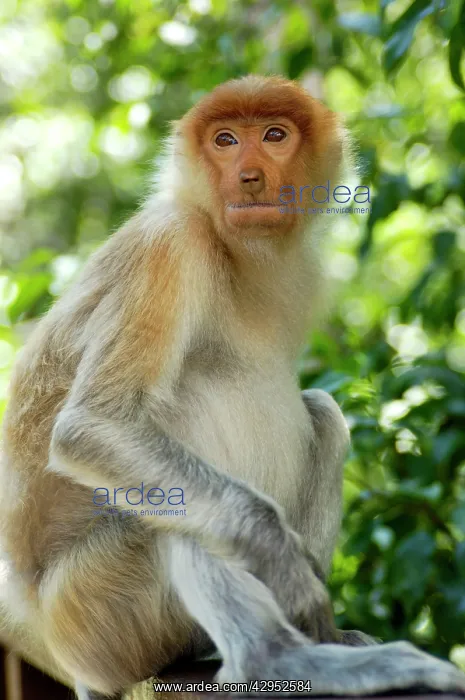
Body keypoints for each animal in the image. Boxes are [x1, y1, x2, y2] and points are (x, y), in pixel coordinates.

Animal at [0, 75, 465, 700]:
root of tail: (48, 633)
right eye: (224, 140)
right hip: (97, 612)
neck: (225, 243)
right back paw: (276, 658)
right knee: (181, 431)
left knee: (321, 413)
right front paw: (283, 563)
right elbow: (92, 426)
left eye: (274, 135)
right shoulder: (169, 247)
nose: (248, 177)